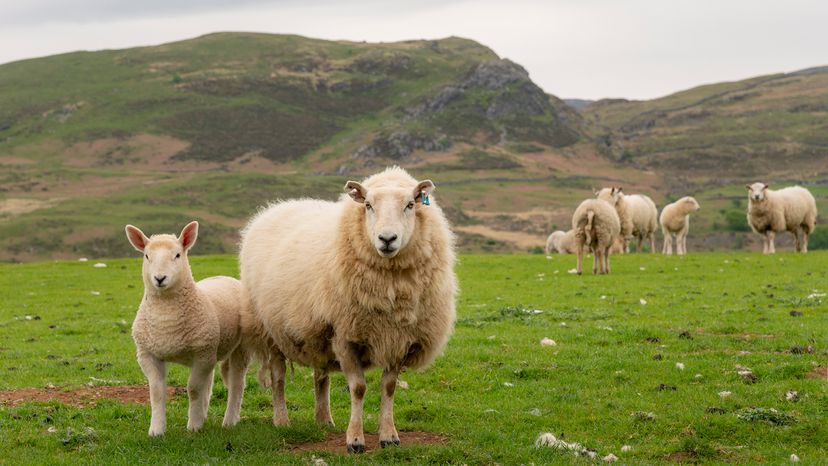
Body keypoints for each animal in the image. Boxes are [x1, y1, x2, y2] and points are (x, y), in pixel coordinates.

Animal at [124, 220, 272, 436]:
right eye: (147, 256)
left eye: (177, 255)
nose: (160, 278)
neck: (166, 318)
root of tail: (226, 277)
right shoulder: (147, 355)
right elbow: (157, 392)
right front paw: (157, 430)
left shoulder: (202, 353)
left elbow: (193, 389)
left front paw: (193, 426)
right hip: (210, 349)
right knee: (208, 383)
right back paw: (204, 413)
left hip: (237, 347)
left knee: (236, 383)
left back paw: (229, 420)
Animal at [239, 167, 460, 452]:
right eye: (368, 205)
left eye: (410, 205)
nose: (387, 239)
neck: (390, 286)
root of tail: (276, 207)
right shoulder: (345, 336)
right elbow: (358, 388)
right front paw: (355, 439)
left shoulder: (397, 339)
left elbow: (389, 387)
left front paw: (389, 435)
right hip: (271, 330)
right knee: (278, 377)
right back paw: (282, 420)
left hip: (317, 333)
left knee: (320, 376)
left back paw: (324, 419)